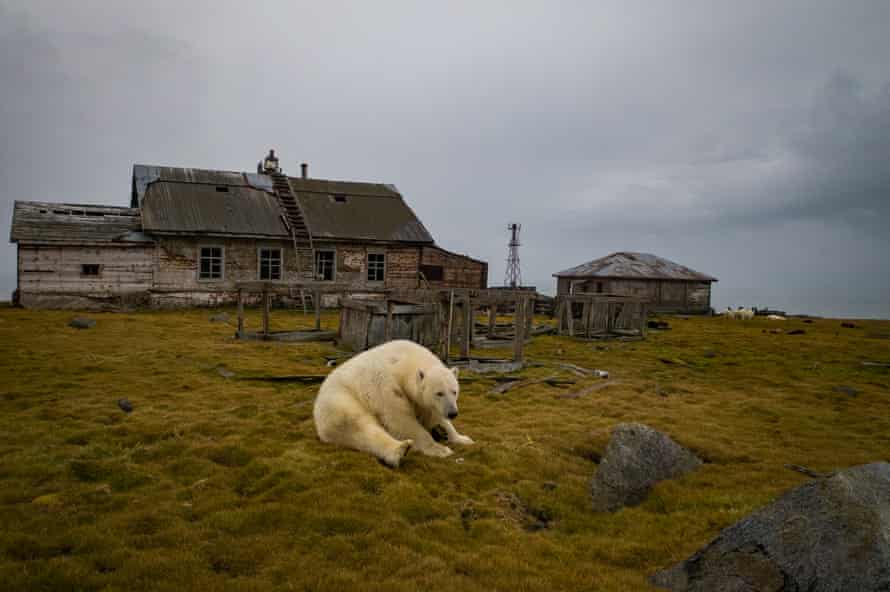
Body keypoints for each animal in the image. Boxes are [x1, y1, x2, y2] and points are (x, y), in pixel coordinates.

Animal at [313, 339, 474, 468]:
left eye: (454, 391)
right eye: (439, 393)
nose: (453, 413)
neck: (403, 360)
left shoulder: (421, 403)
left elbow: (433, 414)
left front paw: (462, 438)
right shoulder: (386, 386)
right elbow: (400, 419)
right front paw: (440, 449)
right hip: (341, 400)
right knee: (357, 425)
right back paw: (400, 450)